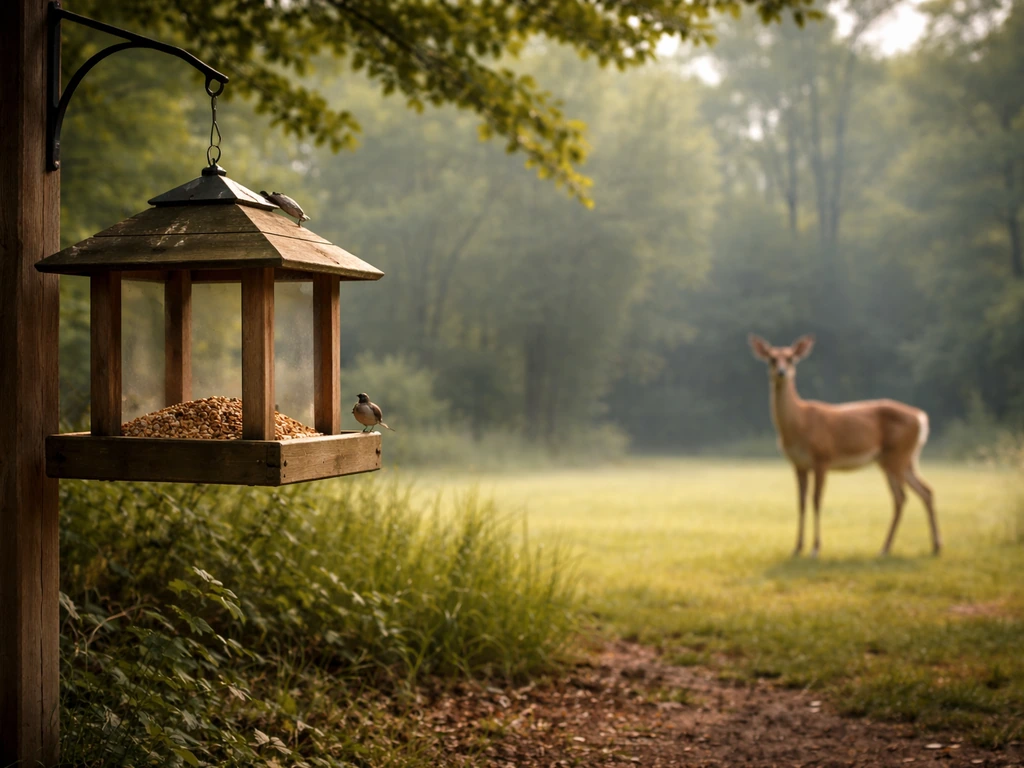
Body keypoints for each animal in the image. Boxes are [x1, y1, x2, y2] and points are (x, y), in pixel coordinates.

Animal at [748, 334, 940, 558]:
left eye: (791, 359)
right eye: (771, 359)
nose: (781, 372)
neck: (799, 423)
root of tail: (921, 417)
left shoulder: (822, 458)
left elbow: (816, 500)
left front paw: (815, 548)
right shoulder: (798, 464)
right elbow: (801, 503)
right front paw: (797, 548)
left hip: (897, 455)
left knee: (902, 496)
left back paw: (887, 548)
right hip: (900, 458)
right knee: (924, 491)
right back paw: (931, 546)